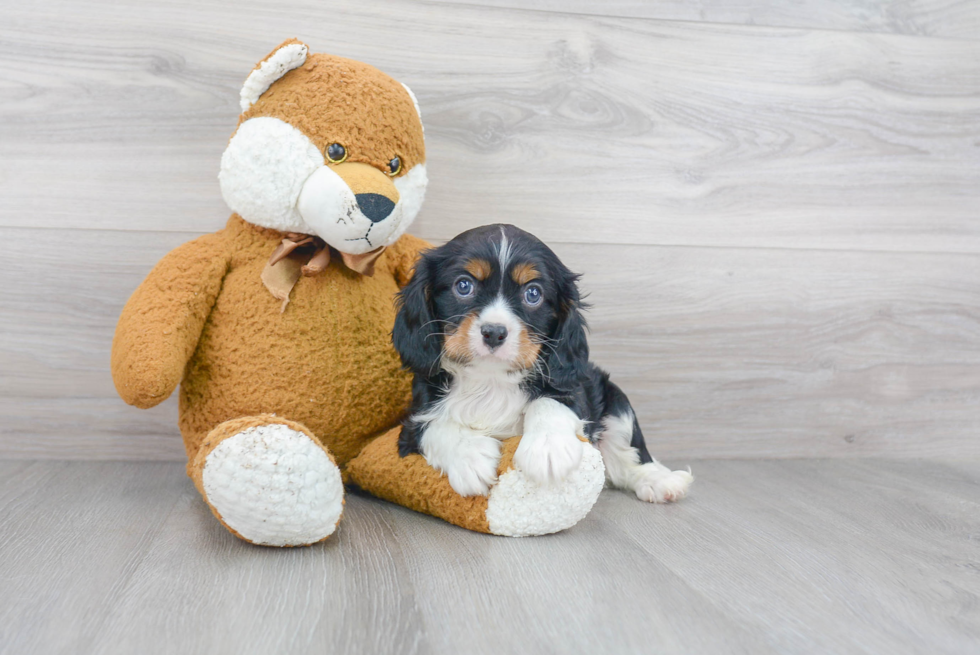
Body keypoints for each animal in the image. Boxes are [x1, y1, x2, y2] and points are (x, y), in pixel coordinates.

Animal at [388, 226, 688, 502]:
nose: (494, 332)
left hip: (616, 402)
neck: (491, 380)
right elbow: (435, 425)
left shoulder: (573, 391)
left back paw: (660, 481)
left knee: (627, 458)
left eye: (533, 293)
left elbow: (549, 402)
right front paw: (470, 457)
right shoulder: (412, 424)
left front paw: (548, 449)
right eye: (463, 286)